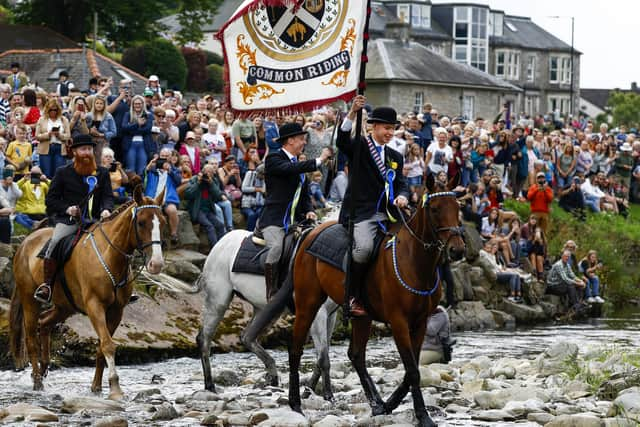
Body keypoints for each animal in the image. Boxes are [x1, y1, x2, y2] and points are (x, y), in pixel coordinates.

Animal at [10, 187, 165, 402]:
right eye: (141, 222)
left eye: (163, 222)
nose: (156, 264)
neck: (110, 256)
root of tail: (27, 240)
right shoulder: (95, 306)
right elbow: (108, 345)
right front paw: (115, 388)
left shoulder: (116, 312)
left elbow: (102, 347)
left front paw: (97, 388)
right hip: (29, 300)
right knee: (31, 338)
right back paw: (38, 382)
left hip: (64, 306)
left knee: (45, 323)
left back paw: (43, 368)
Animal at [288, 176, 462, 426]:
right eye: (435, 209)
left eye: (458, 208)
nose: (457, 250)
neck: (414, 261)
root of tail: (312, 231)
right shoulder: (398, 322)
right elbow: (412, 370)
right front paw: (422, 415)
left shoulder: (421, 322)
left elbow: (412, 370)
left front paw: (390, 405)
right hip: (308, 303)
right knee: (296, 349)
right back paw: (295, 403)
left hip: (362, 317)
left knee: (356, 355)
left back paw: (377, 403)